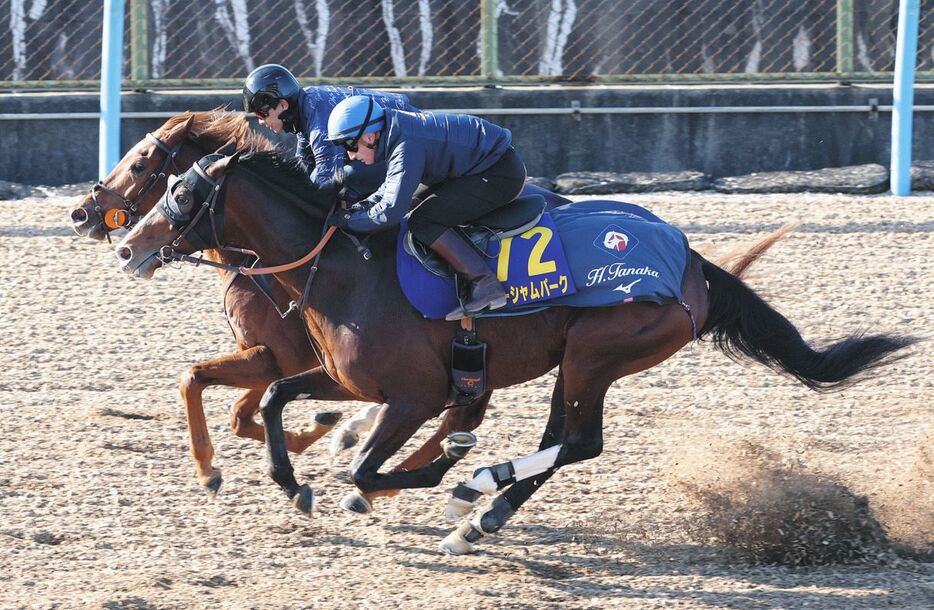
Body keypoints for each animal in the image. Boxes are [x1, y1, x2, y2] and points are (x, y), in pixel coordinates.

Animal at [109, 147, 916, 552]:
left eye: (178, 192)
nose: (125, 245)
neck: (344, 264)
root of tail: (691, 261)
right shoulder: (350, 380)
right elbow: (278, 400)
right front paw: (291, 483)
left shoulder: (414, 393)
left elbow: (369, 465)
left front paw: (418, 477)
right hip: (581, 362)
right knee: (566, 436)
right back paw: (484, 514)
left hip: (598, 349)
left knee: (581, 441)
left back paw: (476, 488)